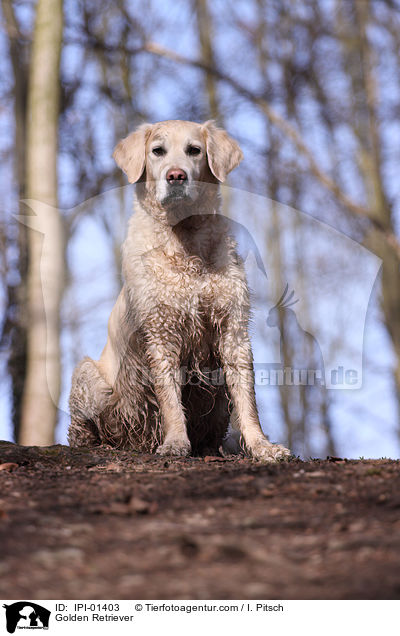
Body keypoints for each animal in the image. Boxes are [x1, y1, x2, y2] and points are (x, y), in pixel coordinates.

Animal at [69, 119, 290, 460]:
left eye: (194, 150)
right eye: (157, 151)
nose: (176, 176)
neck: (185, 240)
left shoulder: (233, 331)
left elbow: (247, 399)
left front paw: (261, 445)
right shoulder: (161, 332)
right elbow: (169, 398)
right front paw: (175, 442)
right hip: (87, 376)